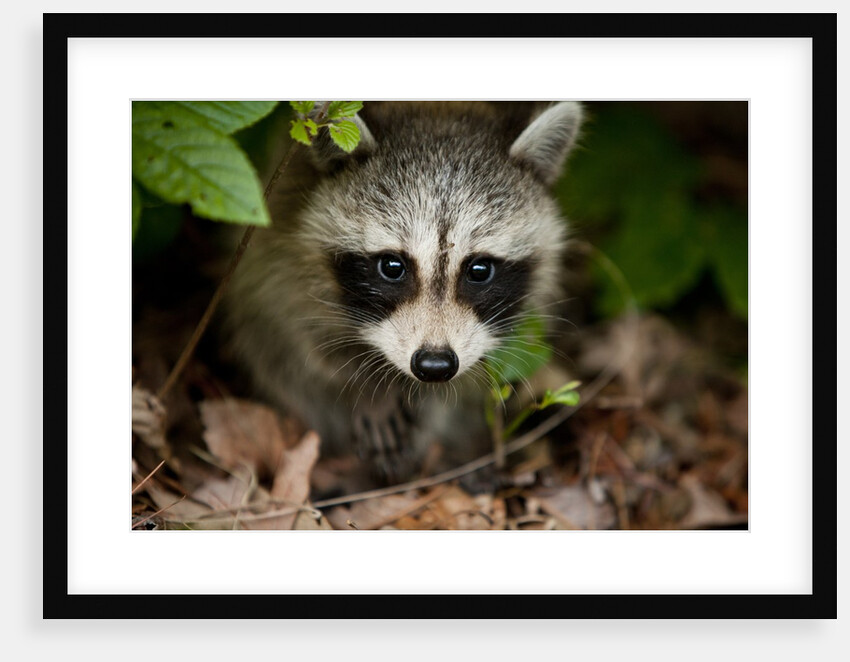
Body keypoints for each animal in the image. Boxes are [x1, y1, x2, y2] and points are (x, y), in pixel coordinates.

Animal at [223, 101, 583, 481]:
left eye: (479, 270)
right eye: (392, 267)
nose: (435, 366)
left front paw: (419, 404)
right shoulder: (284, 253)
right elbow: (307, 337)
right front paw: (369, 389)